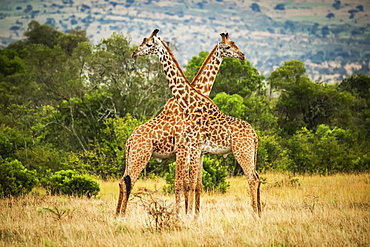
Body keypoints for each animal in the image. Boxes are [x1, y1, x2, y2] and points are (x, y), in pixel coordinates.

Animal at [120, 29, 262, 217]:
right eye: (228, 46)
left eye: (148, 43)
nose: (242, 55)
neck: (191, 101)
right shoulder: (191, 149)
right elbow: (190, 184)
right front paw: (188, 215)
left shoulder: (192, 148)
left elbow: (189, 184)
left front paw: (188, 215)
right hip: (139, 156)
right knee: (126, 181)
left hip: (242, 152)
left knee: (253, 179)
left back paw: (256, 213)